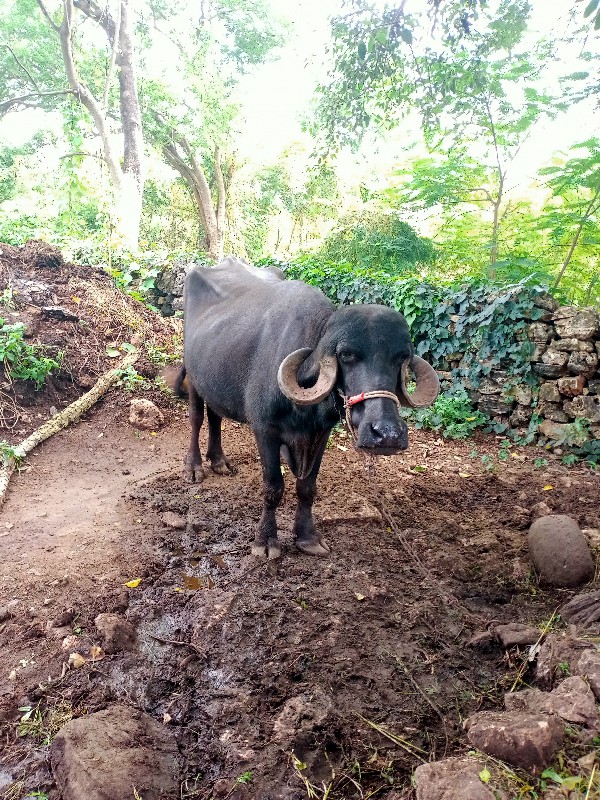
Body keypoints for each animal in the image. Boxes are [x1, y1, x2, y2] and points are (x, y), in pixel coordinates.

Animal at [176, 260, 438, 560]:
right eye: (346, 355)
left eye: (401, 357)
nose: (387, 434)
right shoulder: (264, 429)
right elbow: (273, 487)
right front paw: (266, 540)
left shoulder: (320, 433)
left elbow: (307, 487)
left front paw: (307, 536)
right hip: (193, 377)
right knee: (197, 418)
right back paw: (194, 467)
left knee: (215, 415)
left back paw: (219, 461)